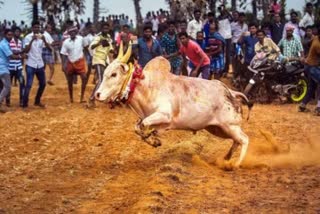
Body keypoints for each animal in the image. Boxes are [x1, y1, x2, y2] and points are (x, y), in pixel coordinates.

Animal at [95, 42, 252, 167]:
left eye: (114, 74)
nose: (97, 94)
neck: (146, 86)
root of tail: (230, 92)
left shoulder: (164, 115)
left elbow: (144, 125)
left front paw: (152, 138)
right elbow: (138, 127)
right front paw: (154, 140)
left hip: (230, 126)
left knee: (244, 139)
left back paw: (235, 164)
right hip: (217, 128)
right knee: (236, 141)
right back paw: (226, 158)